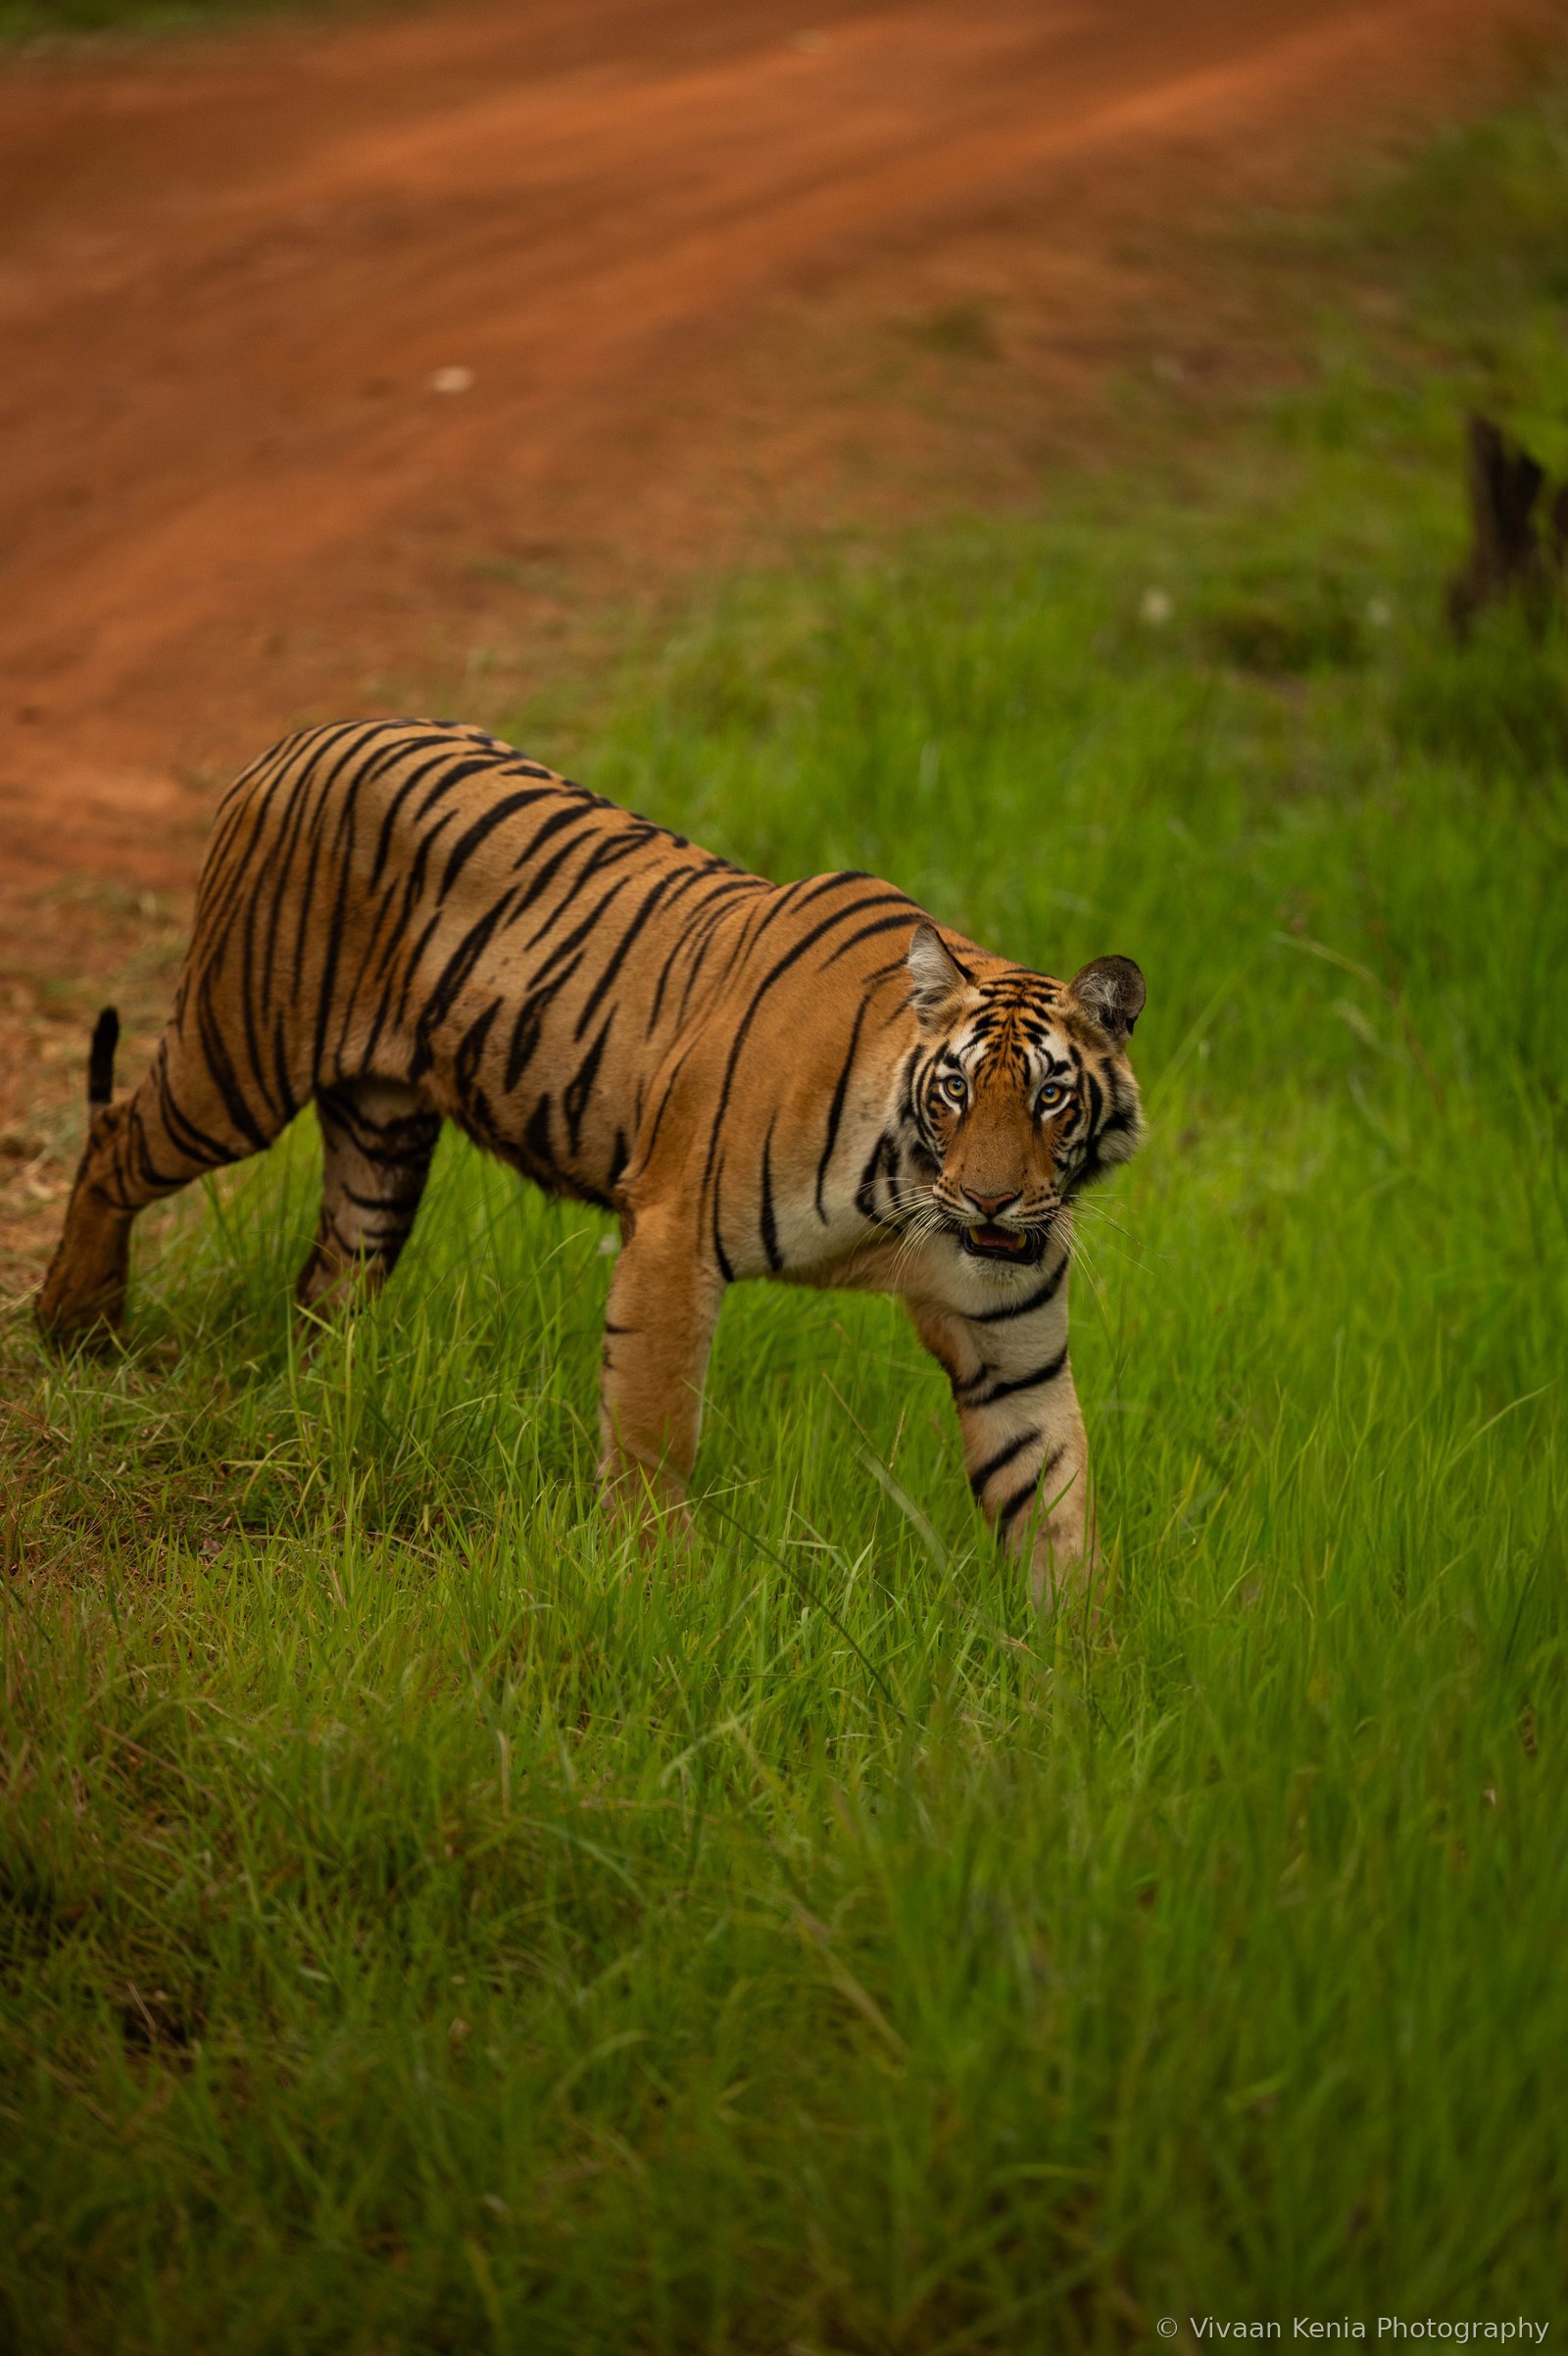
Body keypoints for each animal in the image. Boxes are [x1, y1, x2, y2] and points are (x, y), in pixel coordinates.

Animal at [37, 719, 1146, 1604]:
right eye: (955, 1091)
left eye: (1049, 1096)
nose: (992, 1202)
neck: (909, 1198)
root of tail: (298, 739)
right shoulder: (673, 1237)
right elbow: (658, 1432)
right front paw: (661, 1582)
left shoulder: (1010, 1342)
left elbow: (1054, 1495)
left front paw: (1075, 1674)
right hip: (236, 1064)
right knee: (115, 1139)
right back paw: (76, 1329)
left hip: (382, 1142)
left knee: (329, 1280)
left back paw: (313, 1402)